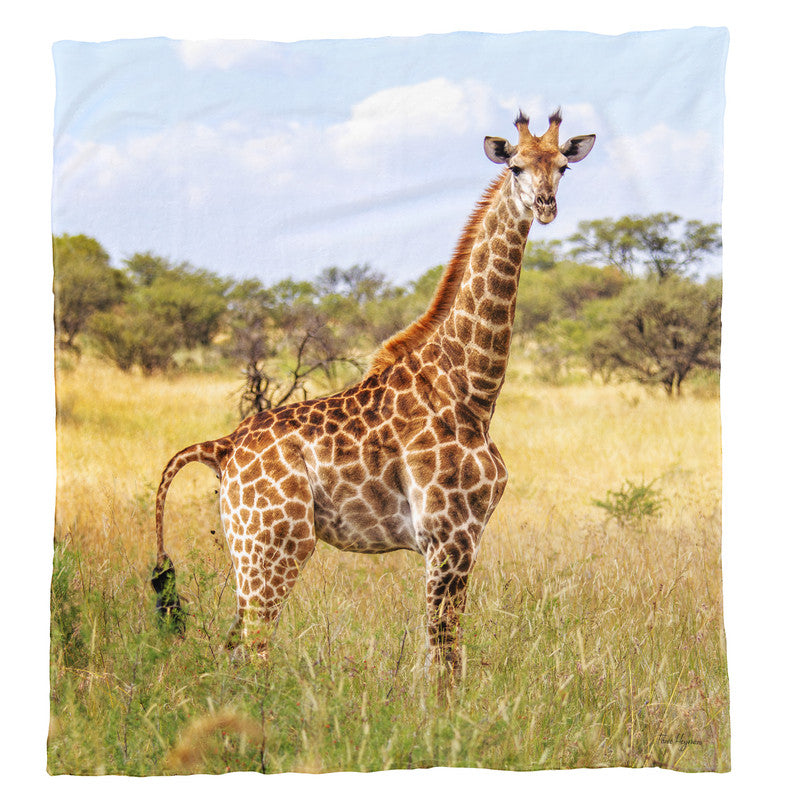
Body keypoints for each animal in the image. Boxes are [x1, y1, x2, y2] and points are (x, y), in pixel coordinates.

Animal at [152, 110, 595, 676]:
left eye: (563, 166)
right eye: (515, 166)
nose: (545, 205)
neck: (472, 390)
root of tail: (222, 447)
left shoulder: (461, 538)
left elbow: (443, 654)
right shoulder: (449, 536)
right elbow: (444, 657)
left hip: (247, 548)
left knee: (233, 648)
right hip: (276, 545)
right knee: (254, 646)